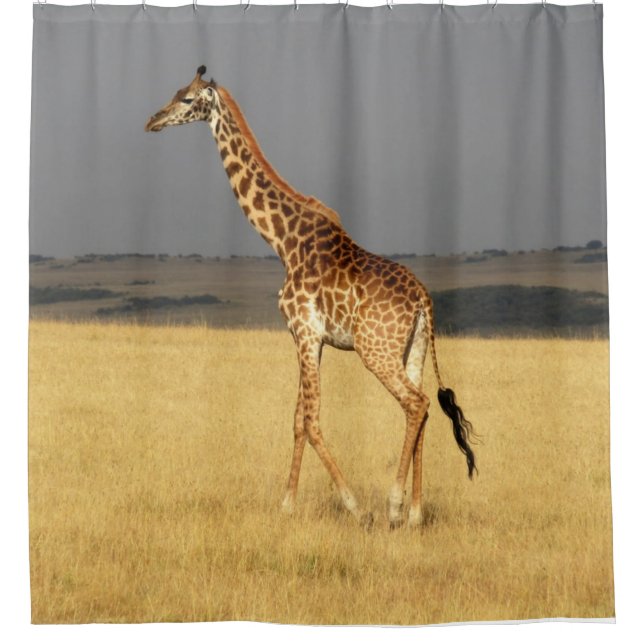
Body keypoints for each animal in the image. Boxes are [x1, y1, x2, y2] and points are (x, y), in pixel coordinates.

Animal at [145, 66, 477, 529]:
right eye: (176, 92)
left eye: (188, 100)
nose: (152, 121)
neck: (282, 241)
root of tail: (423, 302)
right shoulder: (308, 338)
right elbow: (297, 419)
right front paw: (286, 504)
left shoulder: (304, 330)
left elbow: (312, 419)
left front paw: (355, 506)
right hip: (412, 350)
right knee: (424, 408)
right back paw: (414, 513)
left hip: (375, 349)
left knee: (417, 403)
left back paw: (392, 505)